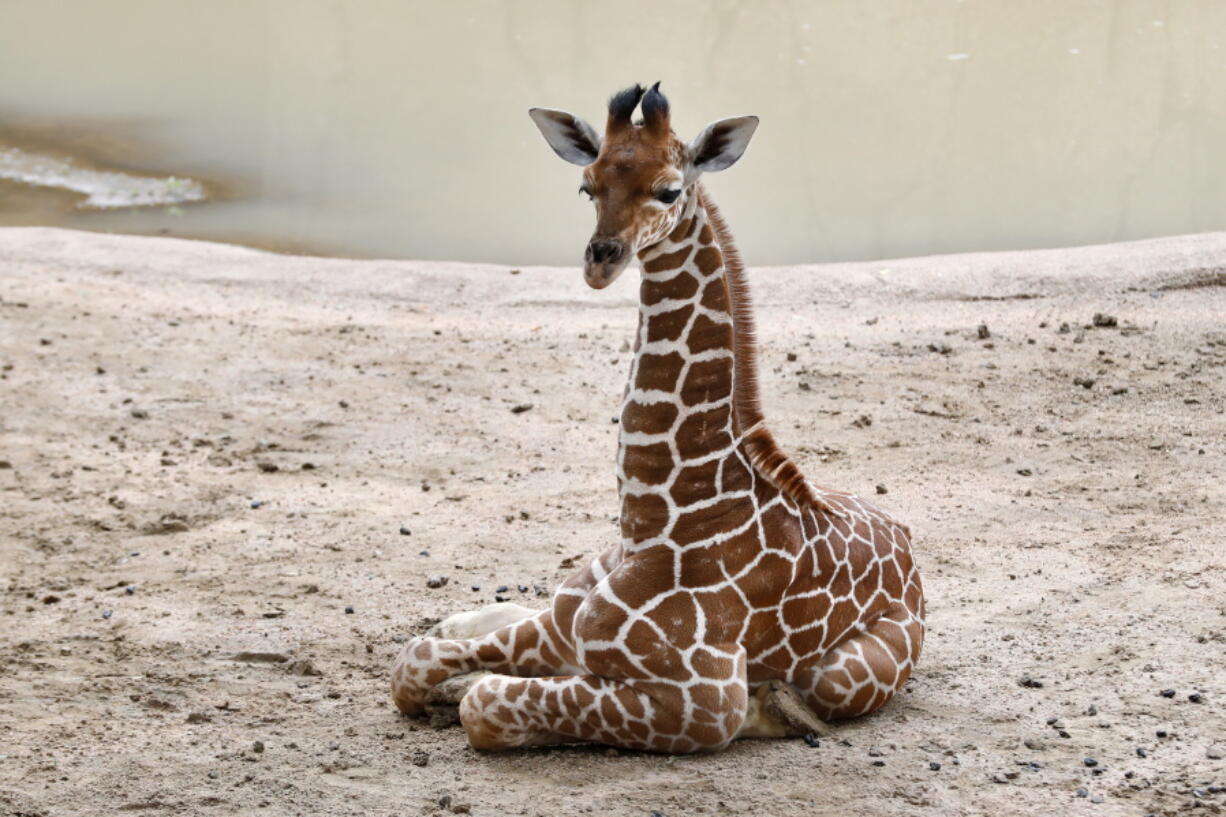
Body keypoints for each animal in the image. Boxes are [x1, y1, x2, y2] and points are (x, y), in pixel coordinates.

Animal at [387, 84, 921, 750]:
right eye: (587, 185)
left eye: (668, 190)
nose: (601, 260)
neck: (659, 518)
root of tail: (906, 541)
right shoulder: (563, 629)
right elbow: (412, 665)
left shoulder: (705, 701)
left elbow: (483, 704)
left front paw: (772, 707)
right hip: (579, 579)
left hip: (844, 676)